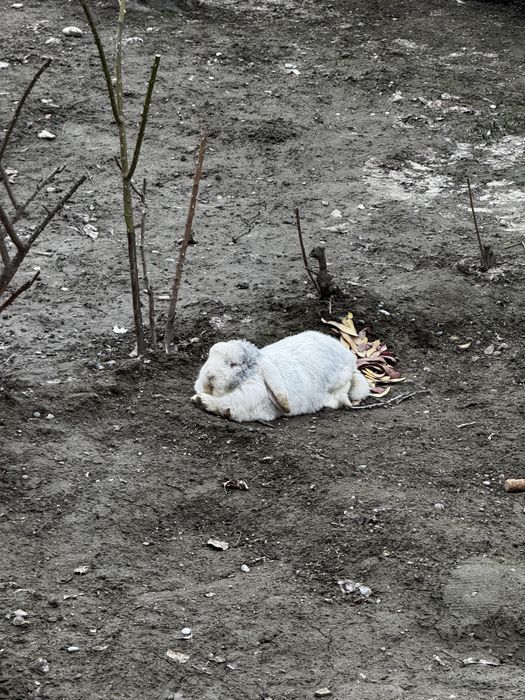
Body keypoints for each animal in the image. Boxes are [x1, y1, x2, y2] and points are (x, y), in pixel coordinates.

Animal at [192, 330, 370, 422]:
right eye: (210, 356)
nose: (209, 375)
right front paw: (198, 398)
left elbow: (223, 404)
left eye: (233, 364)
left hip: (340, 378)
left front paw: (201, 400)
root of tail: (348, 356)